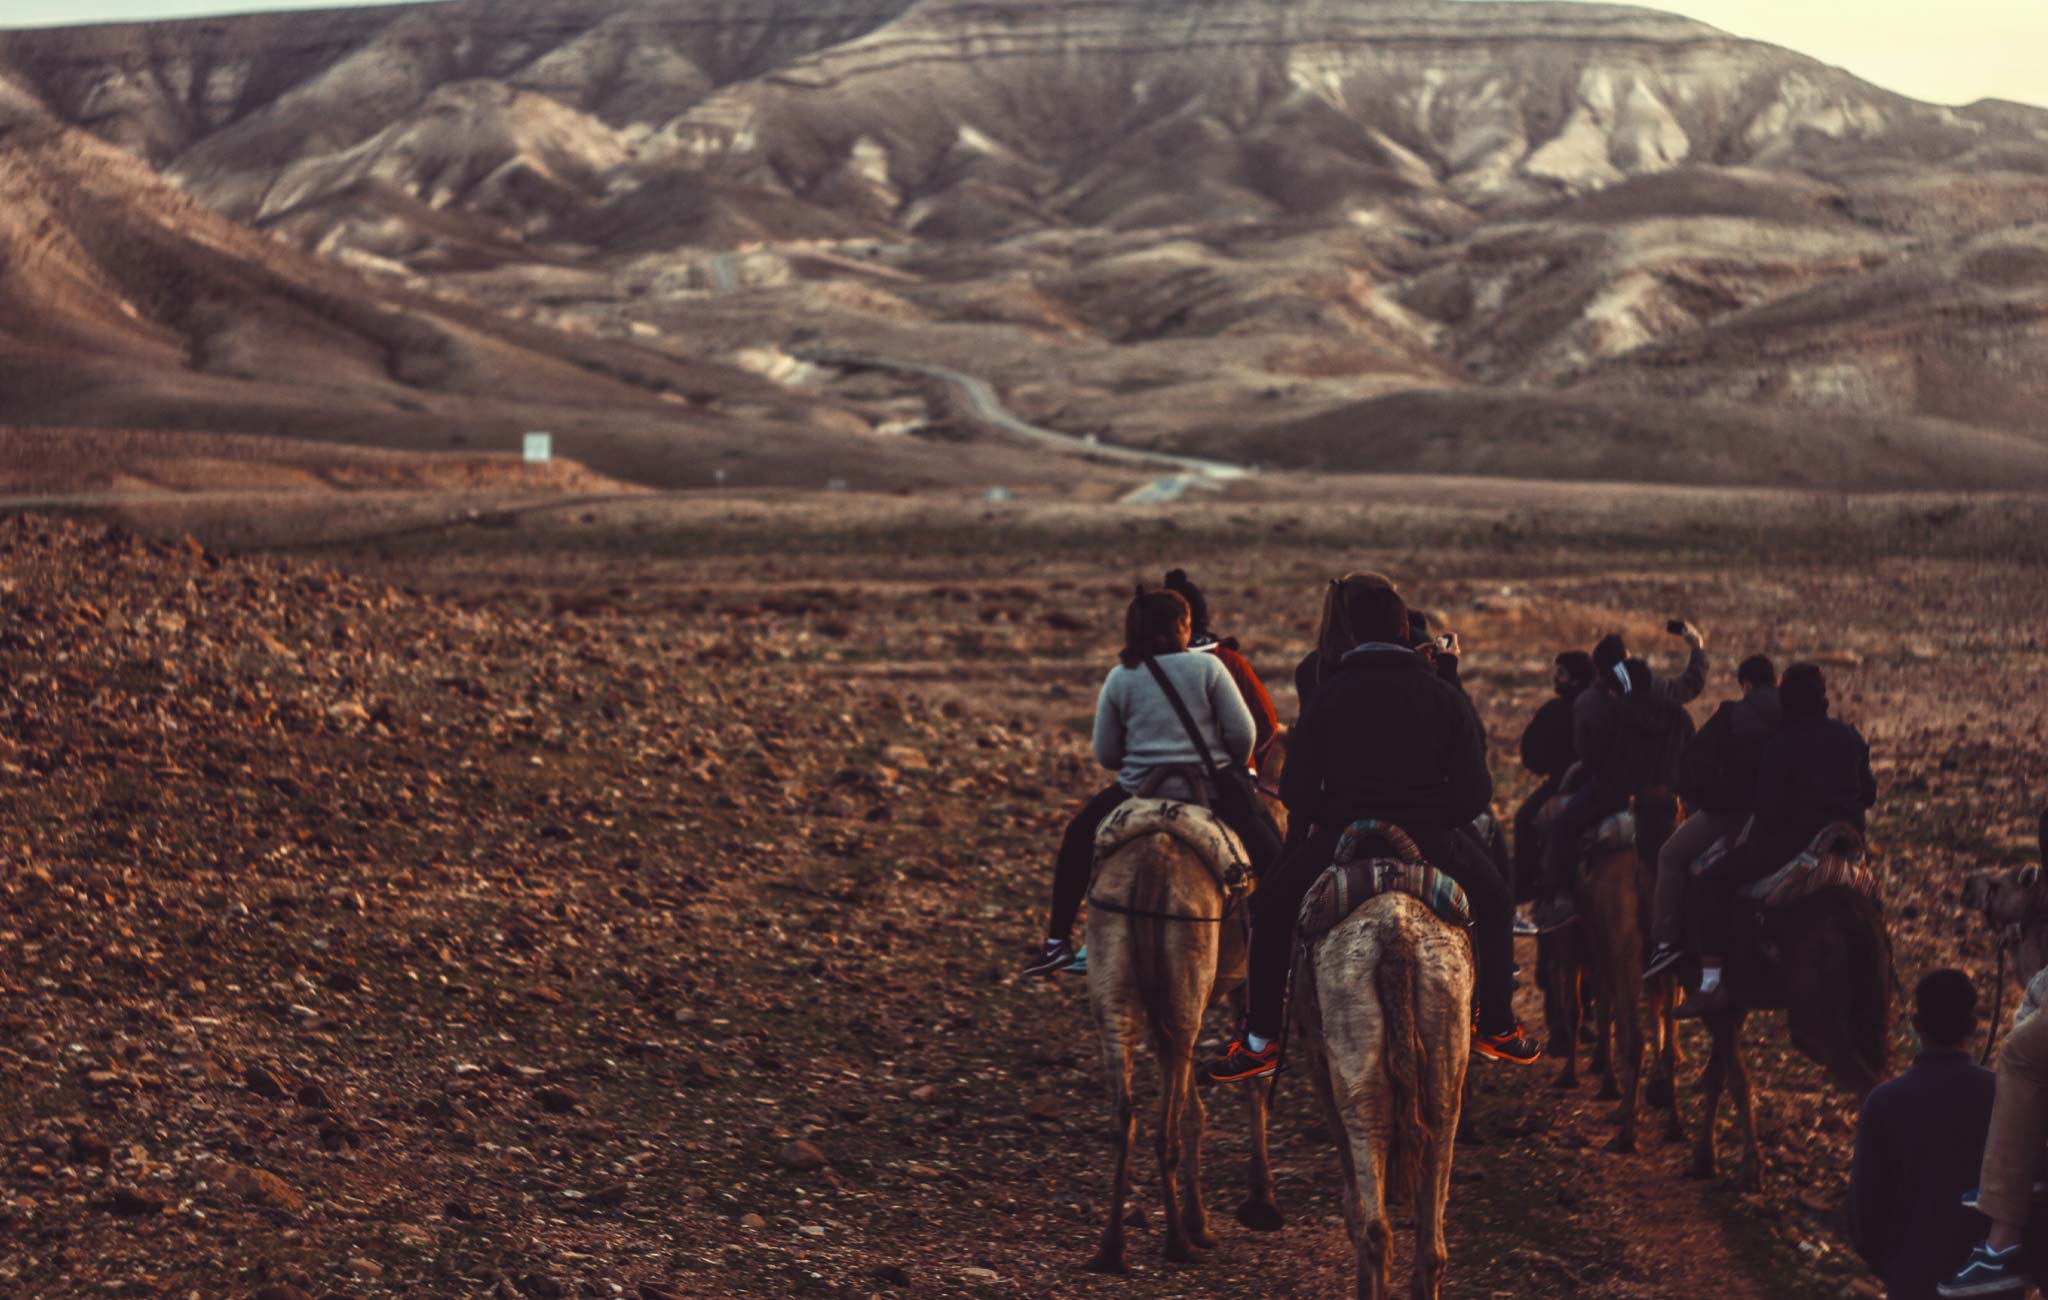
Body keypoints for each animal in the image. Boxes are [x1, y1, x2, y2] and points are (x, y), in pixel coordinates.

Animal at [1089, 741, 1277, 1269]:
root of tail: (1154, 864)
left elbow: (1196, 1105)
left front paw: (1204, 1219)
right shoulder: (1246, 986)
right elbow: (1254, 1081)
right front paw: (1260, 1201)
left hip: (1121, 985)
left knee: (1125, 1113)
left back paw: (1112, 1247)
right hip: (1186, 986)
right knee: (1164, 1126)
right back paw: (1177, 1241)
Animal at [1294, 884, 1474, 1300]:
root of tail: (1397, 932)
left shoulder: (1318, 1063)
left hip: (1353, 1055)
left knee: (1375, 1227)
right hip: (1447, 1029)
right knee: (1432, 1246)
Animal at [1540, 794, 1687, 1146]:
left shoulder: (1594, 951)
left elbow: (1591, 1012)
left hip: (1609, 954)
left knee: (1625, 1031)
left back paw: (1626, 1130)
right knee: (1650, 1037)